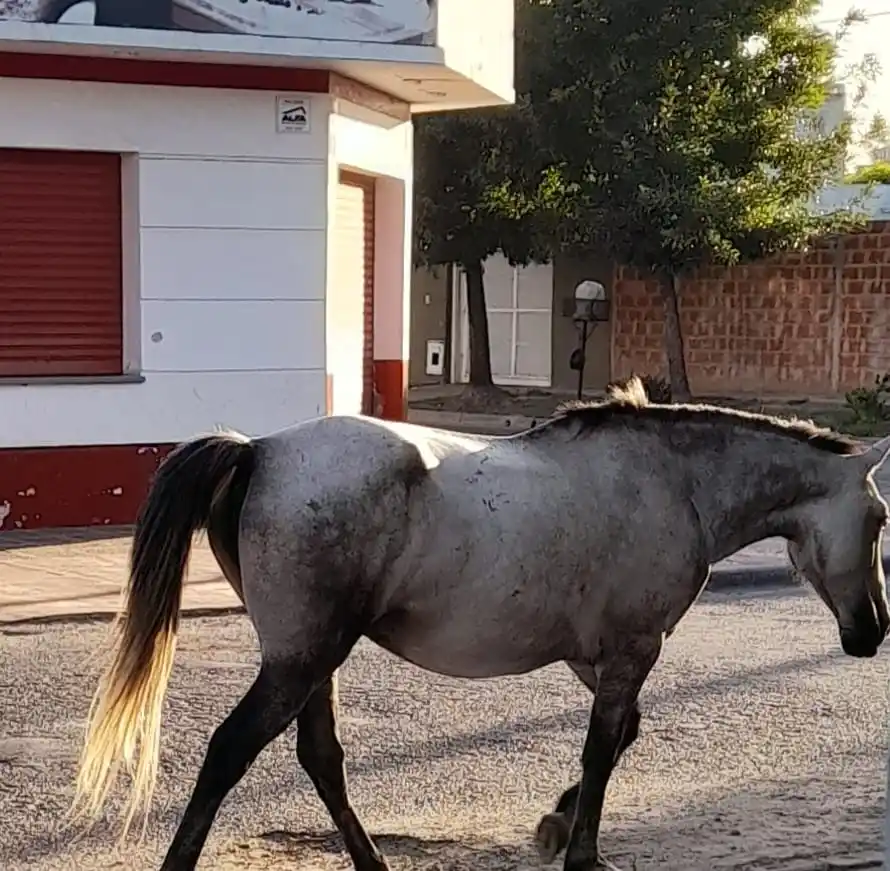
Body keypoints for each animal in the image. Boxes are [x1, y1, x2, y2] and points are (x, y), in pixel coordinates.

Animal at [72, 378, 890, 871]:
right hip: (300, 658)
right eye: (881, 518)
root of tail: (259, 450)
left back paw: (372, 860)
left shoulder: (599, 657)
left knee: (320, 757)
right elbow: (603, 750)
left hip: (313, 658)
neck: (672, 481)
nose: (872, 631)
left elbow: (622, 736)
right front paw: (578, 847)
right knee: (230, 751)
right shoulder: (632, 650)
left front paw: (555, 824)